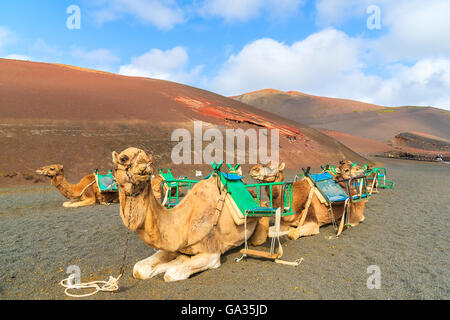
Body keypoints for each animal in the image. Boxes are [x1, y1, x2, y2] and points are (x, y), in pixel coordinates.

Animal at [112, 148, 268, 282]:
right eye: (123, 158)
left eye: (149, 159)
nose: (144, 166)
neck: (183, 223)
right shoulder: (174, 245)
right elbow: (139, 269)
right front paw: (179, 259)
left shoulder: (212, 254)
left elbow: (171, 273)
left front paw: (177, 262)